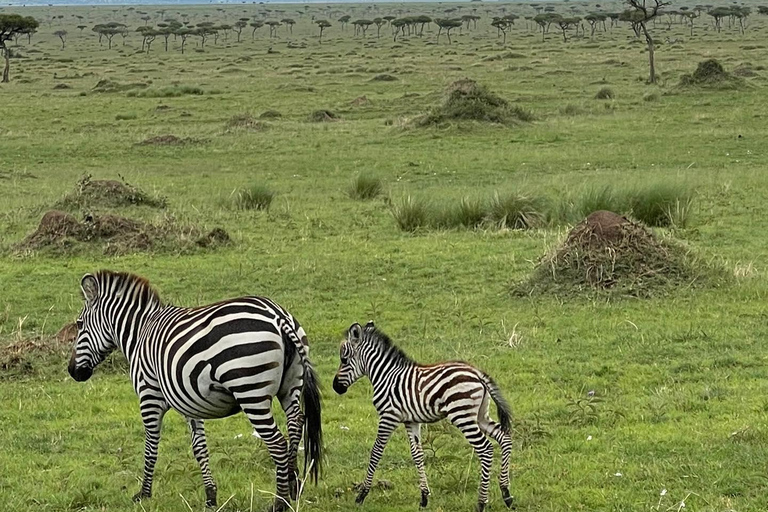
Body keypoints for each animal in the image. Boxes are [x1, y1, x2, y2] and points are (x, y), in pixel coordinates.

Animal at [64, 270, 320, 510]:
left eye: (79, 324)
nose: (72, 371)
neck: (140, 332)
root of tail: (277, 315)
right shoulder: (189, 400)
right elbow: (199, 448)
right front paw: (211, 496)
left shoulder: (149, 395)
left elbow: (151, 446)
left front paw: (144, 494)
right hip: (291, 387)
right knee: (296, 426)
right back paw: (294, 487)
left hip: (250, 391)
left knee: (277, 442)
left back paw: (280, 502)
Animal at [332, 322, 516, 510]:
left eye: (344, 359)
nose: (335, 387)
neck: (386, 376)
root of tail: (477, 373)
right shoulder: (411, 421)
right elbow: (417, 455)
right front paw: (424, 497)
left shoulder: (388, 416)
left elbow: (376, 452)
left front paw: (362, 495)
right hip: (479, 415)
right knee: (504, 437)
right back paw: (506, 494)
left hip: (462, 415)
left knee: (485, 448)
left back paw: (481, 502)